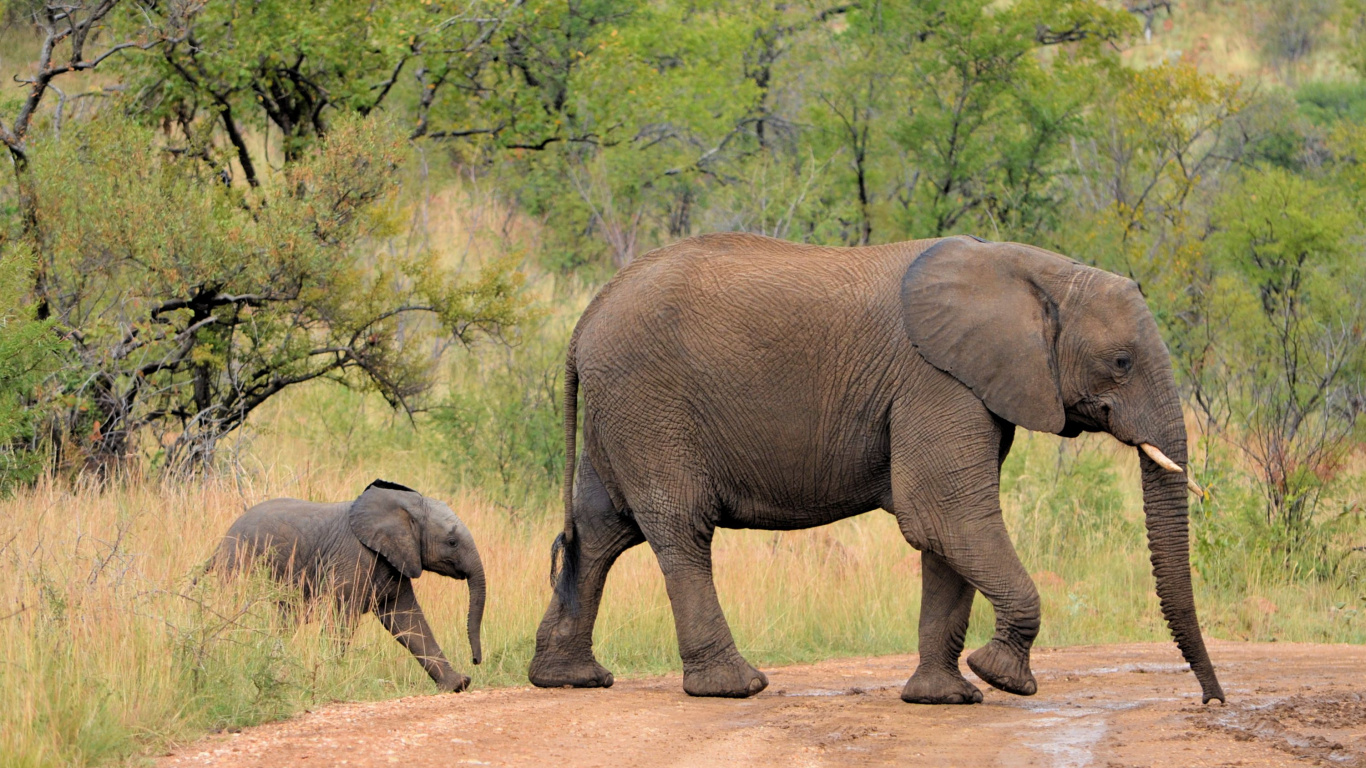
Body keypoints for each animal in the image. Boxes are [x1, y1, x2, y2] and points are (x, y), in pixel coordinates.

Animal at [214, 479, 484, 692]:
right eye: (452, 542)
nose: (476, 661)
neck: (403, 507)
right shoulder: (353, 558)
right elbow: (341, 618)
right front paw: (331, 676)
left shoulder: (394, 560)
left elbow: (408, 621)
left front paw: (457, 685)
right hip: (238, 563)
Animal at [527, 233, 1225, 705]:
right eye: (1122, 363)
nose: (1211, 701)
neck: (1037, 270)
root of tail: (586, 319)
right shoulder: (937, 381)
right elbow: (944, 514)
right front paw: (1001, 677)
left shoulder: (970, 386)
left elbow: (947, 533)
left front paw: (945, 698)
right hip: (651, 402)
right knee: (679, 529)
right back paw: (734, 687)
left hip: (624, 408)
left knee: (602, 530)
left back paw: (569, 680)